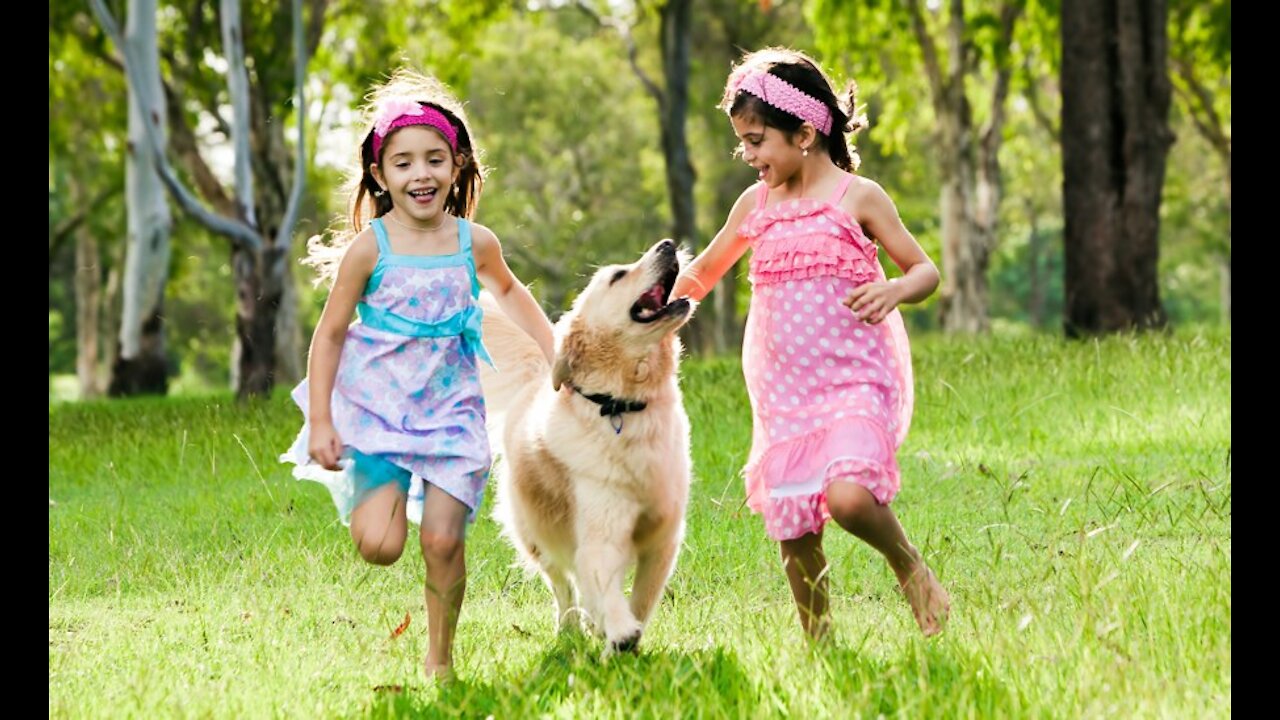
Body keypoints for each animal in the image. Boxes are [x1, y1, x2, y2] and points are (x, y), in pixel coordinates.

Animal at [478, 239, 696, 650]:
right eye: (618, 275)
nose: (668, 244)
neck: (621, 405)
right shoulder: (600, 531)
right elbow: (602, 584)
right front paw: (620, 631)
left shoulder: (663, 537)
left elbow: (642, 597)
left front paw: (626, 633)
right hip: (536, 534)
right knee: (564, 586)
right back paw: (570, 629)